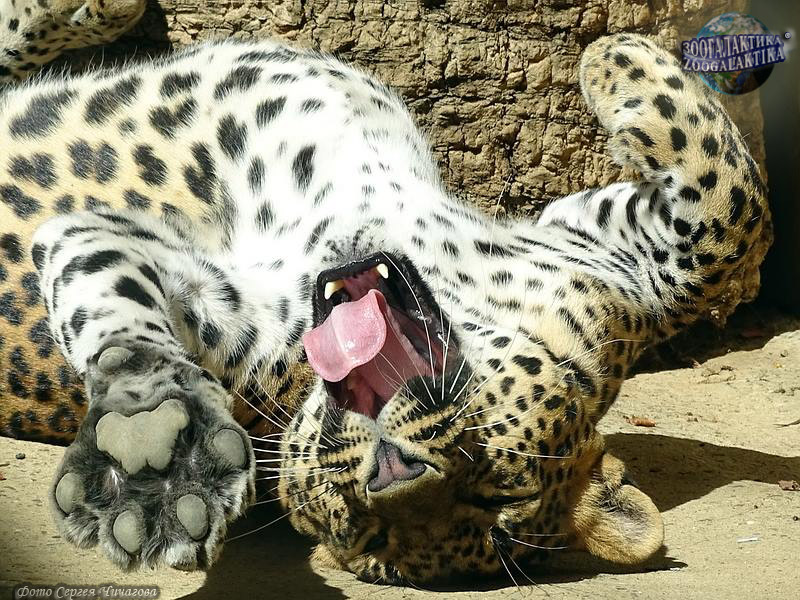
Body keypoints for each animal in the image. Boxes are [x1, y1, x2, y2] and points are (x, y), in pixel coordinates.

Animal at [0, 0, 769, 585]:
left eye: (371, 544)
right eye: (497, 488)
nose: (374, 483)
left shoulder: (160, 267)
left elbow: (732, 215)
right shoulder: (607, 272)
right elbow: (732, 216)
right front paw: (616, 55)